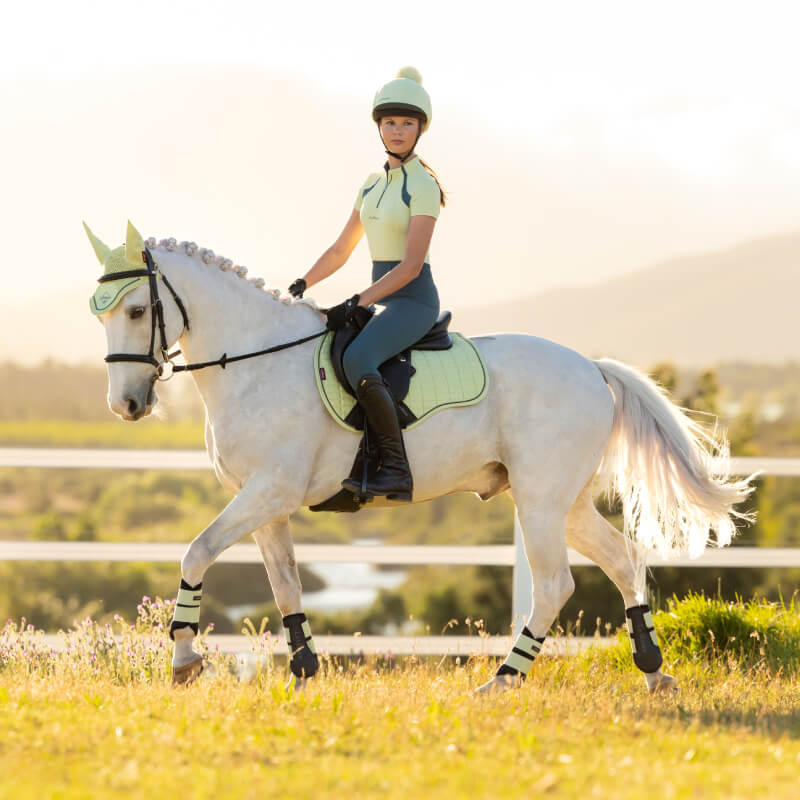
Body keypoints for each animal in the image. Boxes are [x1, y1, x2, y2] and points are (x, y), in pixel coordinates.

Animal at [86, 221, 753, 693]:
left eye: (138, 311)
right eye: (102, 316)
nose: (126, 405)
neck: (255, 363)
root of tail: (592, 368)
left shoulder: (269, 492)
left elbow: (197, 550)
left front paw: (184, 658)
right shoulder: (267, 504)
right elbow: (286, 587)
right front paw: (304, 673)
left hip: (539, 502)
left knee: (554, 585)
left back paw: (503, 681)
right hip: (564, 502)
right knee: (622, 558)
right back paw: (653, 670)